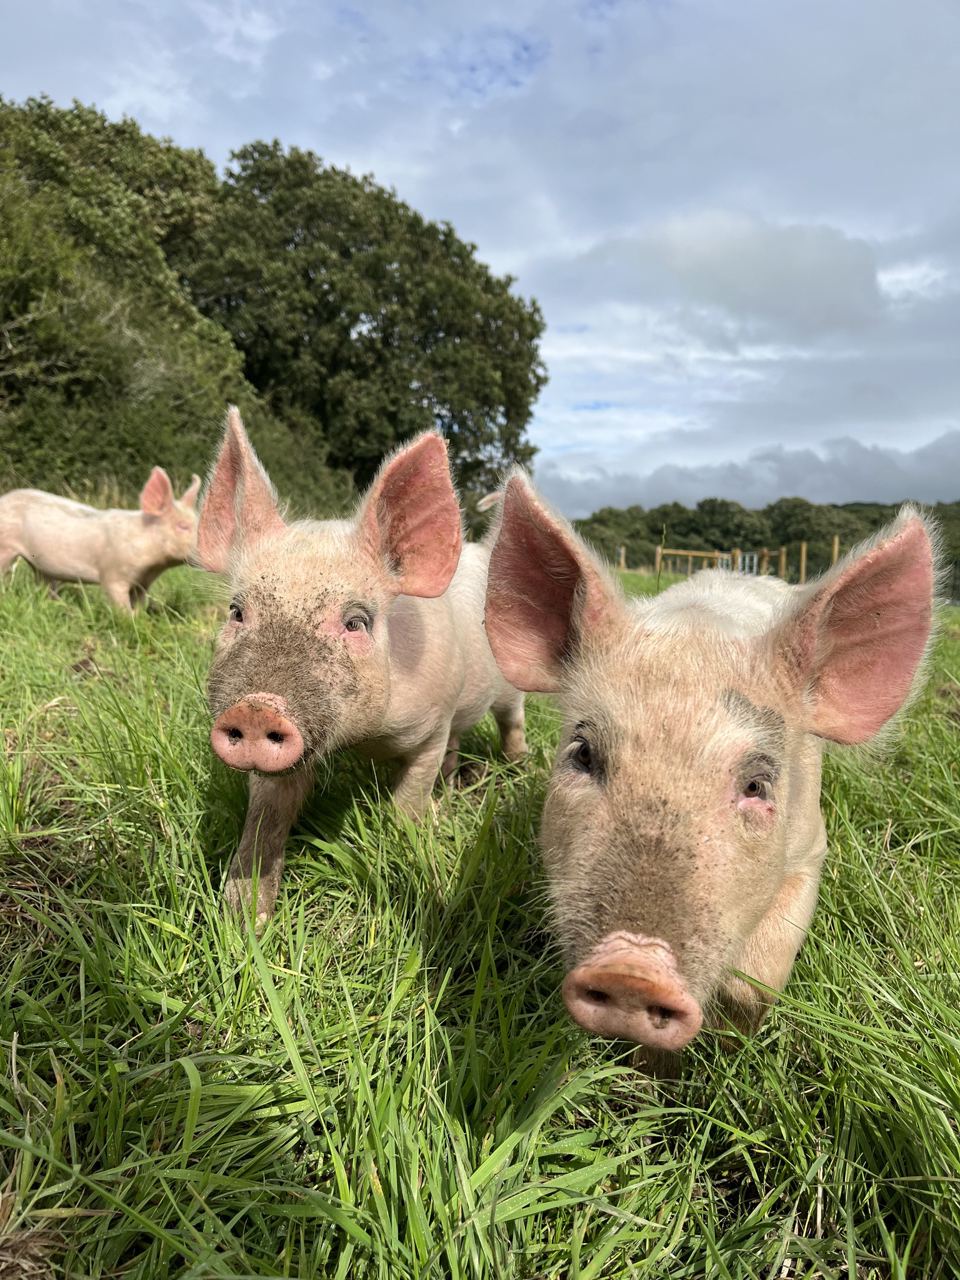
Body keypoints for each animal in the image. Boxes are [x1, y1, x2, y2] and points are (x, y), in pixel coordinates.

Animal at [0, 469, 201, 611]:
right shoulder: (113, 573)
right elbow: (121, 605)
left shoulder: (143, 582)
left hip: (41, 565)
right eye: (183, 526)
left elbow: (139, 605)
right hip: (5, 547)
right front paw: (128, 621)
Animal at [196, 407, 527, 924]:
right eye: (237, 612)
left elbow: (407, 801)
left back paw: (517, 767)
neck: (362, 741)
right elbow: (266, 818)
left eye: (356, 622)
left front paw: (408, 849)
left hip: (509, 690)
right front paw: (245, 918)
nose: (256, 707)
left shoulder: (431, 726)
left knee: (511, 721)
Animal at [484, 472, 937, 1059]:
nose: (632, 966)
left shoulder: (811, 847)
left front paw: (727, 1046)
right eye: (583, 754)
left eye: (756, 784)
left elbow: (755, 979)